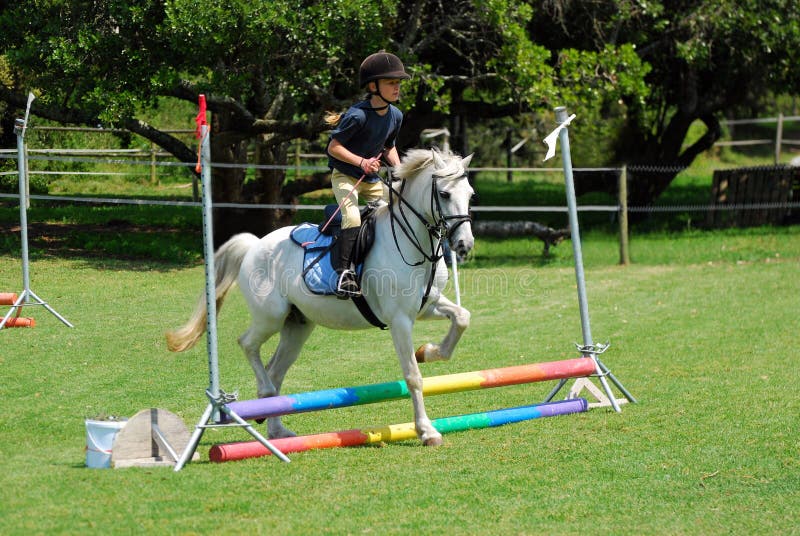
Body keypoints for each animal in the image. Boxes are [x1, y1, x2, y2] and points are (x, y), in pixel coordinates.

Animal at [166, 149, 472, 446]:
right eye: (444, 194)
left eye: (470, 194)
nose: (464, 245)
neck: (414, 244)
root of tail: (255, 244)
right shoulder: (399, 320)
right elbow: (413, 376)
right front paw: (427, 432)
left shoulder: (426, 306)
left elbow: (462, 317)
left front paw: (429, 351)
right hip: (271, 317)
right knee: (248, 345)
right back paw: (264, 398)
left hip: (297, 325)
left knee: (275, 371)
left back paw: (278, 430)